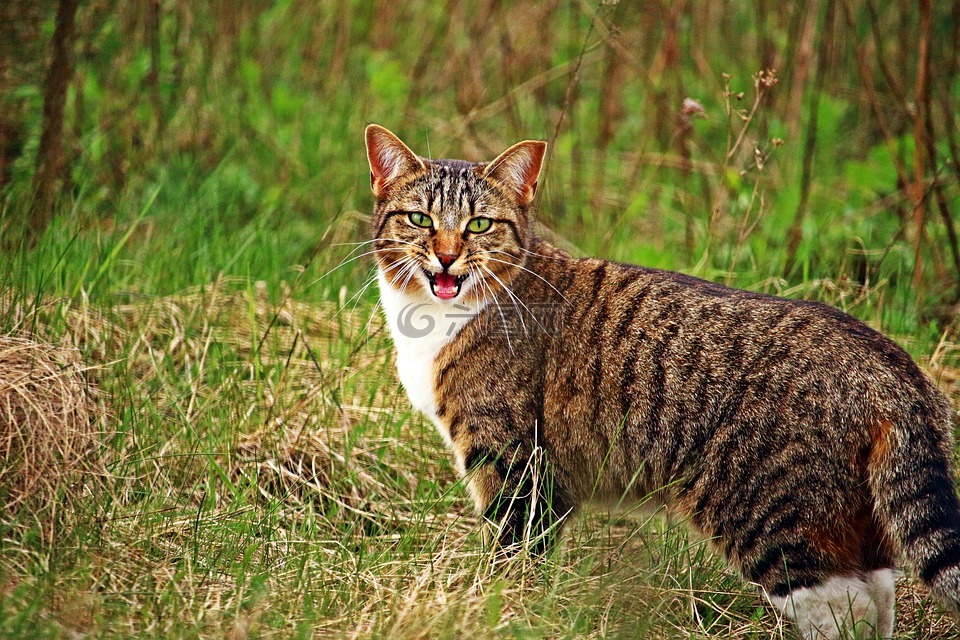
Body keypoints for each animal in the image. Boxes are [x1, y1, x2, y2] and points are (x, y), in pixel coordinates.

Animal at [362, 122, 960, 636]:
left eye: (480, 225)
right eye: (419, 220)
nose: (446, 256)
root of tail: (890, 362)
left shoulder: (514, 465)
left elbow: (514, 557)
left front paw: (498, 612)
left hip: (776, 518)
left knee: (842, 606)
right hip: (853, 520)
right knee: (878, 596)